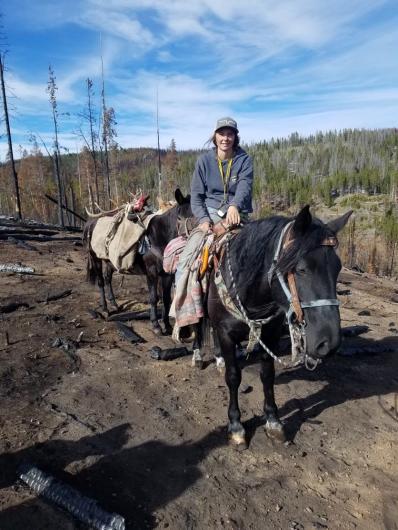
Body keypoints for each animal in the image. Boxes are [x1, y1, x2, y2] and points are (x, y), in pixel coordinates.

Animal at [82, 188, 191, 332]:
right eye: (179, 217)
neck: (158, 237)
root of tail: (90, 223)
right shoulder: (151, 272)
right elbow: (153, 297)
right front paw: (155, 325)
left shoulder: (167, 274)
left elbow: (167, 298)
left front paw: (167, 325)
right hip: (96, 259)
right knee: (100, 282)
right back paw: (105, 308)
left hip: (109, 261)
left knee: (107, 278)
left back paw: (114, 304)